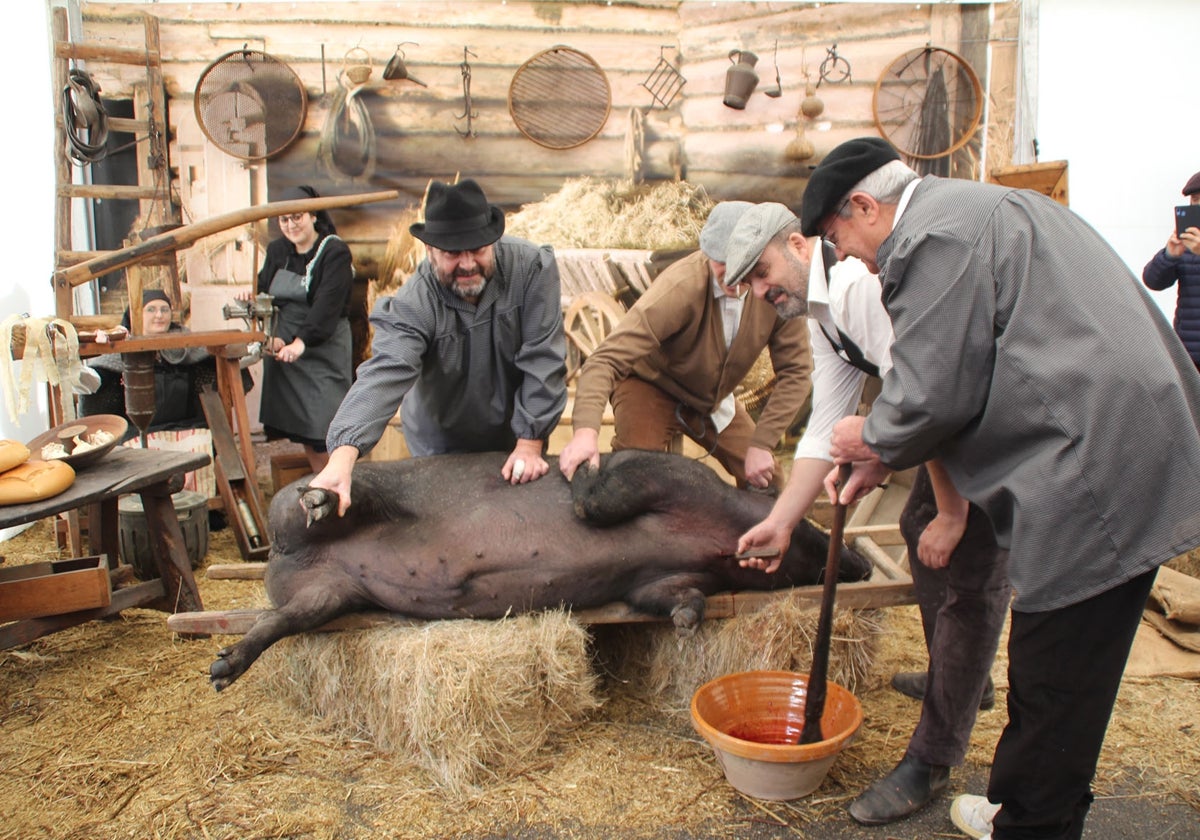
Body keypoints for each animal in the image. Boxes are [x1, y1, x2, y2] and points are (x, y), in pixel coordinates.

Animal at [211, 448, 868, 686]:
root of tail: (281, 555)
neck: (721, 541)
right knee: (346, 490)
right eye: (816, 527)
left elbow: (677, 597)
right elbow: (611, 492)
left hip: (331, 593)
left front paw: (685, 626)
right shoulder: (668, 477)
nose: (859, 561)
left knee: (280, 619)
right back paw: (322, 499)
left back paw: (222, 670)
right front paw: (580, 482)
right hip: (348, 500)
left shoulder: (667, 580)